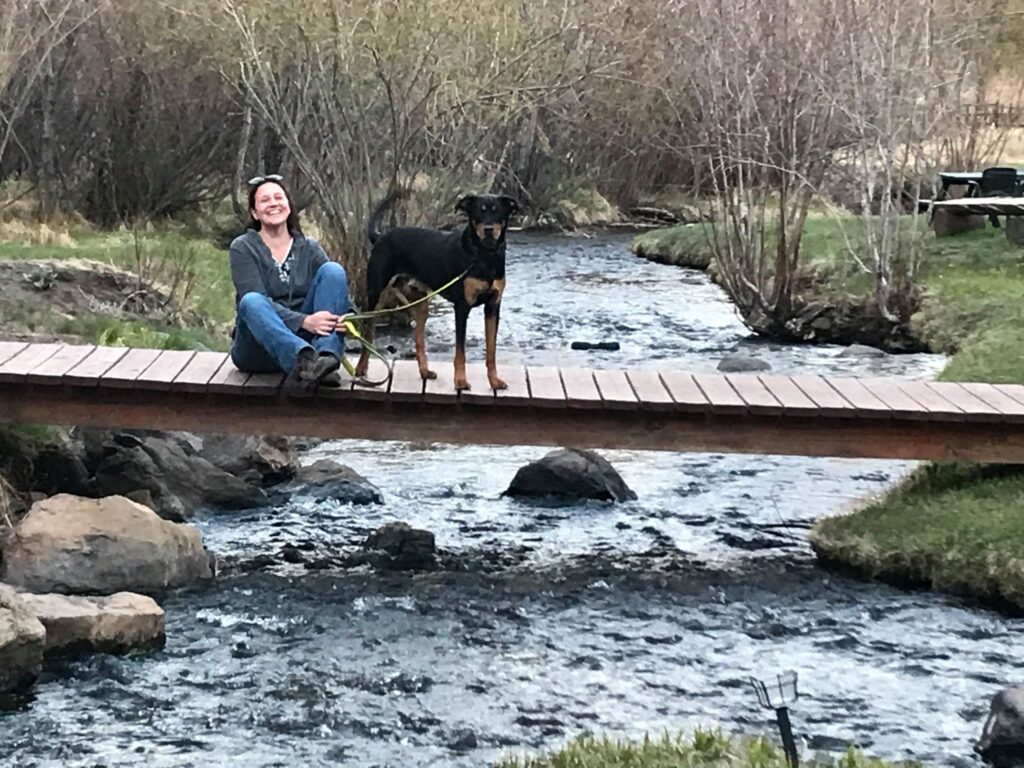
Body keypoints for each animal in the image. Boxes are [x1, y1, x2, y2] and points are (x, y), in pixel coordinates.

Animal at [358, 190, 520, 393]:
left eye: (497, 211)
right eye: (478, 212)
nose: (489, 229)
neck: (484, 256)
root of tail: (380, 237)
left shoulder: (493, 307)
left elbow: (491, 351)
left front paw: (494, 381)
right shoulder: (462, 307)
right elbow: (460, 351)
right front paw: (460, 381)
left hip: (420, 303)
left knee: (418, 339)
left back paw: (425, 371)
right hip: (376, 295)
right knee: (367, 333)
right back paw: (361, 369)